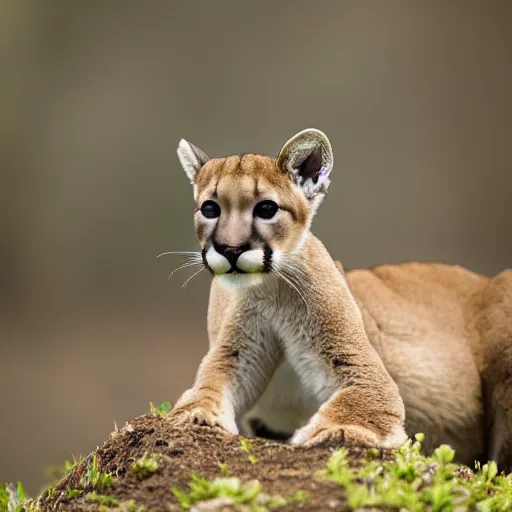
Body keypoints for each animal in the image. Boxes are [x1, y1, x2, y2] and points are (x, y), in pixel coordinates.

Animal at [168, 129, 512, 472]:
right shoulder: (235, 353)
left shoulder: (361, 369)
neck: (271, 290)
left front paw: (332, 432)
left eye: (266, 209)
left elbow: (353, 413)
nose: (230, 249)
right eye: (210, 209)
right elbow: (208, 387)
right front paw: (195, 414)